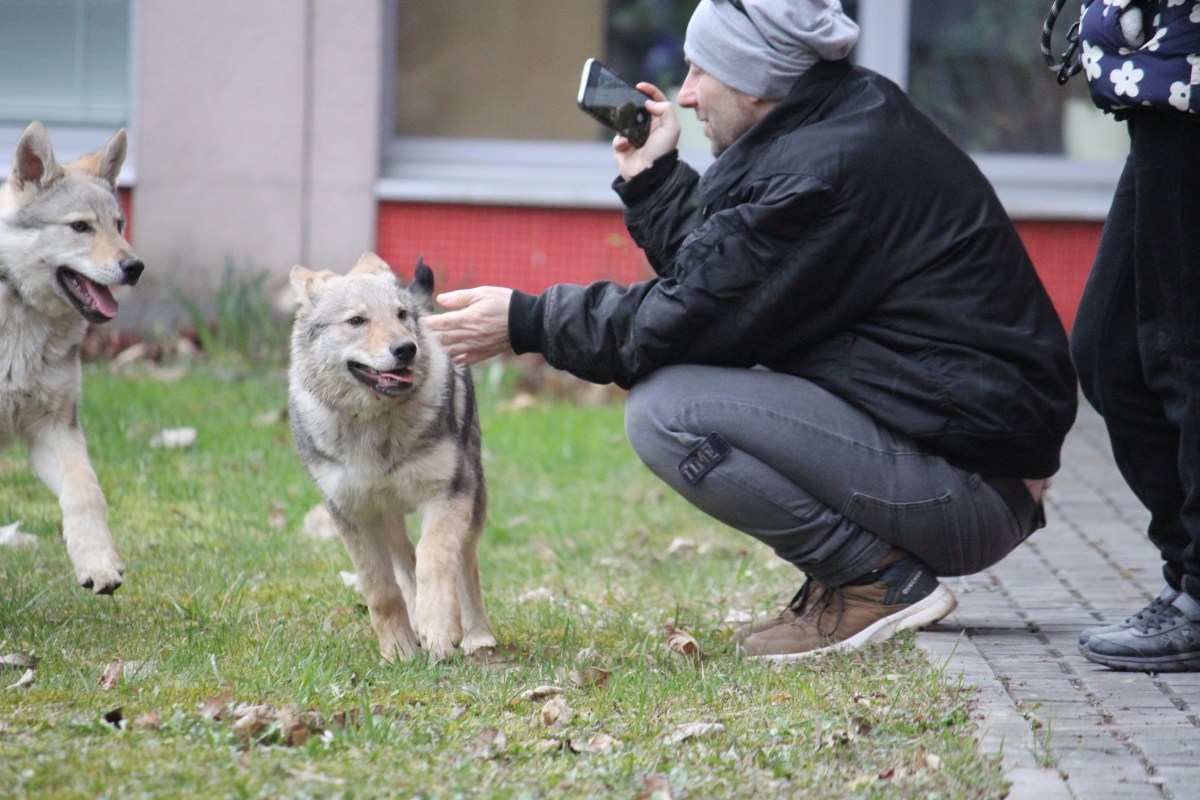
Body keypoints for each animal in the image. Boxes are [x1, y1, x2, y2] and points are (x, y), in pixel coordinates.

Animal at [0, 120, 144, 594]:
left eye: (119, 224)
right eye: (80, 226)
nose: (135, 267)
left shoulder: (55, 427)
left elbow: (86, 492)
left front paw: (97, 561)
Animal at [288, 253, 494, 662]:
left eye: (400, 314)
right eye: (356, 320)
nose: (406, 349)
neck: (376, 426)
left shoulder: (448, 492)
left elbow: (435, 561)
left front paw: (439, 630)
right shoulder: (351, 511)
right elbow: (380, 587)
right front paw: (398, 649)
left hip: (474, 495)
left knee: (466, 563)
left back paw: (476, 634)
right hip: (388, 513)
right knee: (404, 559)